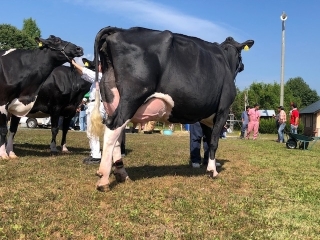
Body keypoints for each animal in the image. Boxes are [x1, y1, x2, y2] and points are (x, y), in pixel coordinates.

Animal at [90, 26, 255, 191]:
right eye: (240, 56)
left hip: (112, 98)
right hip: (131, 97)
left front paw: (210, 166)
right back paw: (103, 179)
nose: (243, 66)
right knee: (112, 129)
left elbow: (209, 140)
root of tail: (120, 30)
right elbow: (214, 141)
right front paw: (212, 171)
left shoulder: (206, 116)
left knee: (117, 135)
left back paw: (122, 174)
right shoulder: (223, 109)